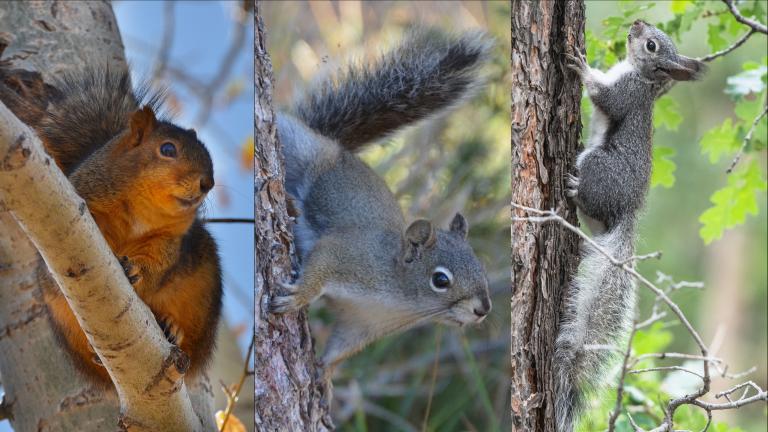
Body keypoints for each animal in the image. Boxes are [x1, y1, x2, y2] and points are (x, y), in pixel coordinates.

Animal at [0, 66, 223, 388]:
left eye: (207, 153)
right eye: (168, 149)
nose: (208, 183)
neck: (144, 209)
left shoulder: (168, 241)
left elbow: (157, 264)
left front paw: (137, 270)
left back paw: (171, 329)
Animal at [269, 28, 494, 383]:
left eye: (480, 267)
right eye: (440, 280)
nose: (483, 309)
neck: (399, 300)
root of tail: (335, 145)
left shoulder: (364, 323)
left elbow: (342, 347)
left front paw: (325, 377)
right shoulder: (351, 256)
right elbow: (321, 264)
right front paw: (299, 296)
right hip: (301, 150)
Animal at [554, 20, 705, 430]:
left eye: (652, 45)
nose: (637, 24)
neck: (642, 77)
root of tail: (625, 214)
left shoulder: (626, 94)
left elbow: (604, 96)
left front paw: (581, 65)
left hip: (596, 165)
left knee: (587, 192)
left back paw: (573, 187)